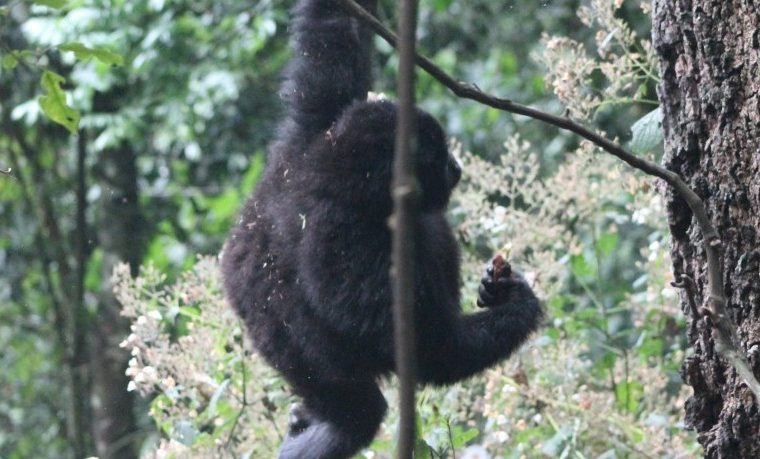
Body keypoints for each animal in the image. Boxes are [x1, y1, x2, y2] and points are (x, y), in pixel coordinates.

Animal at [220, 1, 543, 457]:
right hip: (286, 345)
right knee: (357, 407)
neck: (337, 172)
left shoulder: (317, 128)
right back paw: (330, 428)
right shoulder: (347, 236)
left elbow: (331, 38)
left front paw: (498, 287)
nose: (456, 167)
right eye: (438, 157)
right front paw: (518, 302)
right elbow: (429, 348)